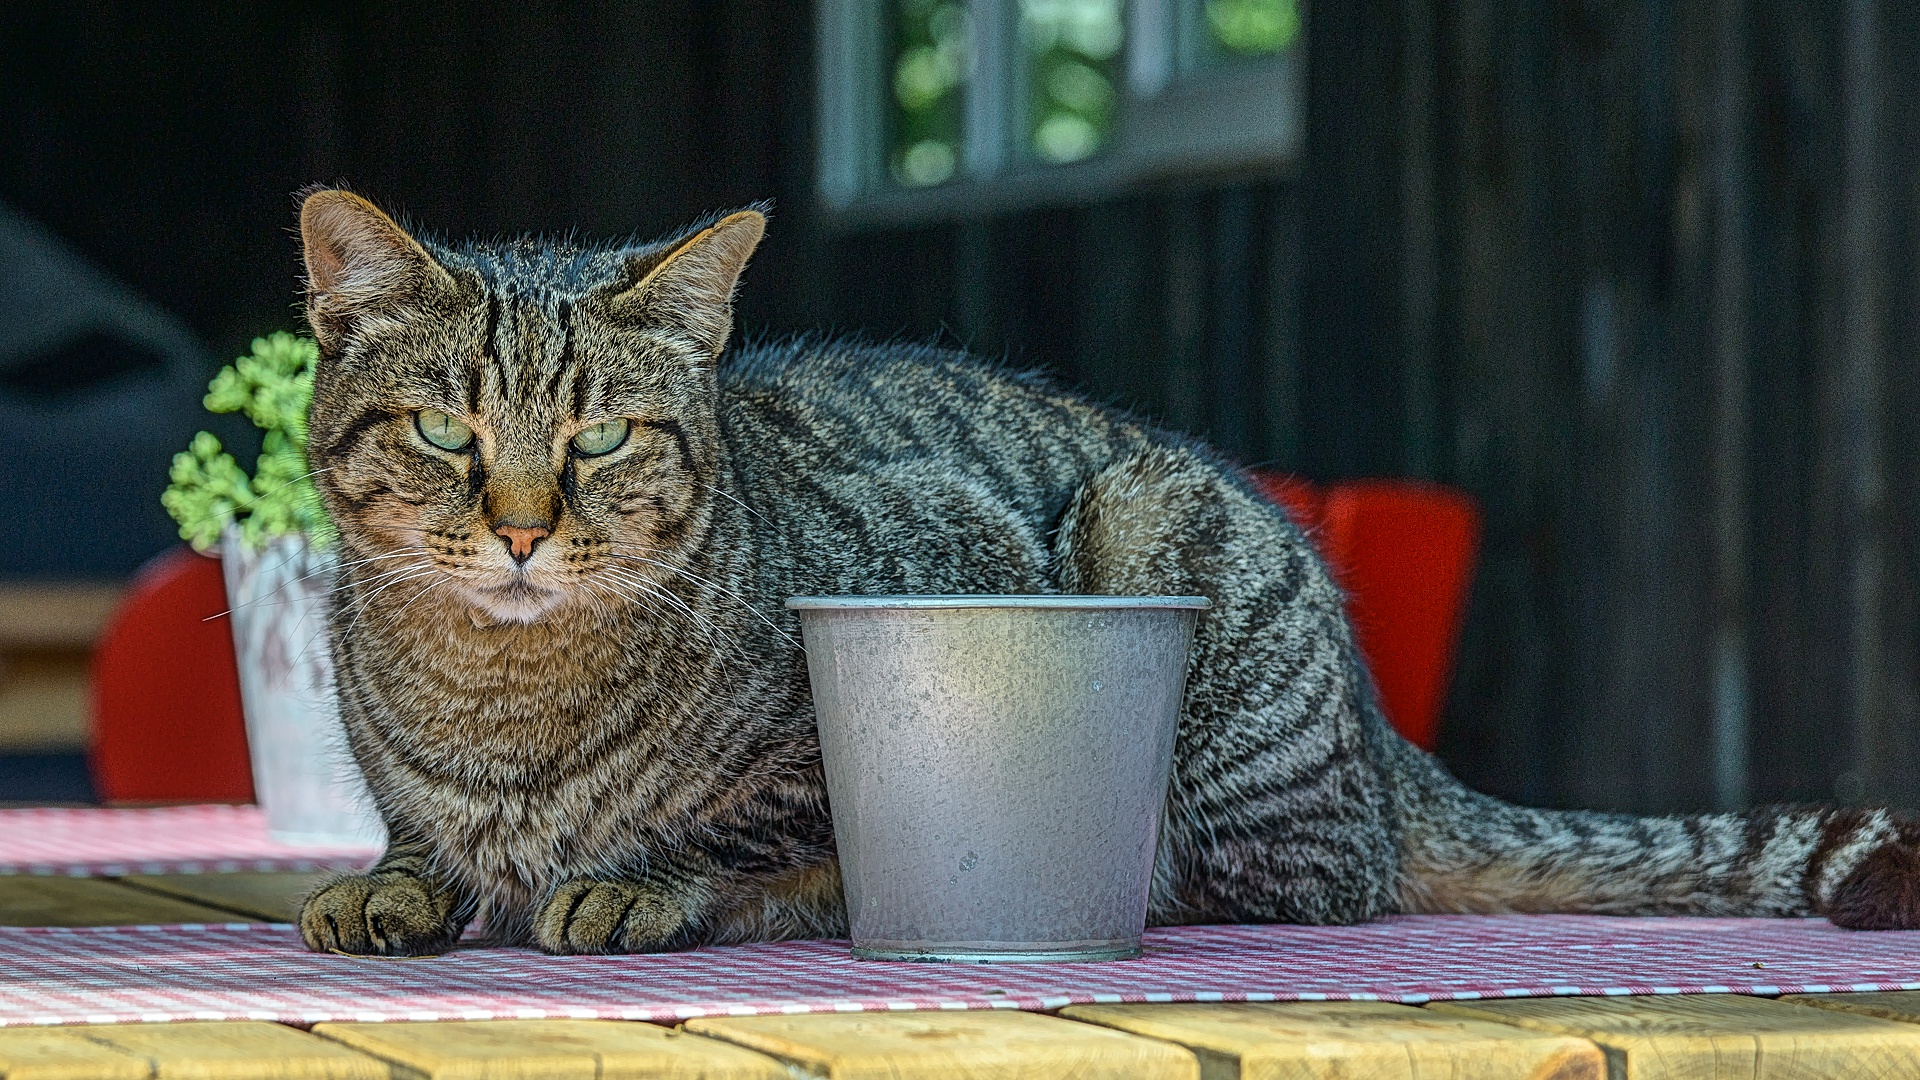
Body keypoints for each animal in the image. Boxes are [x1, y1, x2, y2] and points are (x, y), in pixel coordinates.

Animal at [291, 189, 1912, 953]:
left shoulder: (925, 609)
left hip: (1158, 550)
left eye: (603, 436)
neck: (500, 699)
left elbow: (743, 833)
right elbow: (418, 843)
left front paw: (634, 883)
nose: (520, 527)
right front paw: (392, 889)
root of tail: (1386, 737)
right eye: (445, 429)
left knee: (1315, 883)